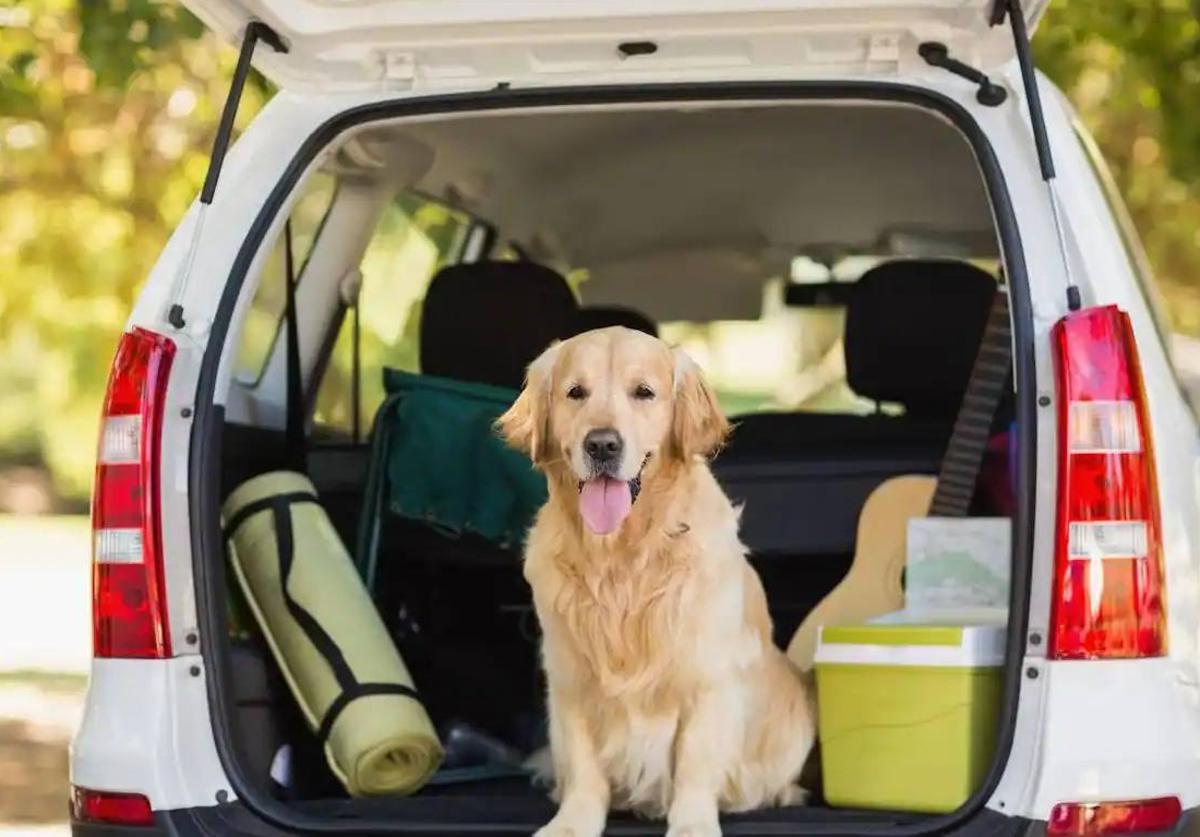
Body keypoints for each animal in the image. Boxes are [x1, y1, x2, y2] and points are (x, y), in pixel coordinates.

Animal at [496, 326, 816, 834]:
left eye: (643, 392)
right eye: (575, 392)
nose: (602, 445)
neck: (622, 558)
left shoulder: (707, 678)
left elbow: (695, 765)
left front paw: (692, 825)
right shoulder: (569, 677)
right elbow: (584, 768)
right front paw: (572, 823)